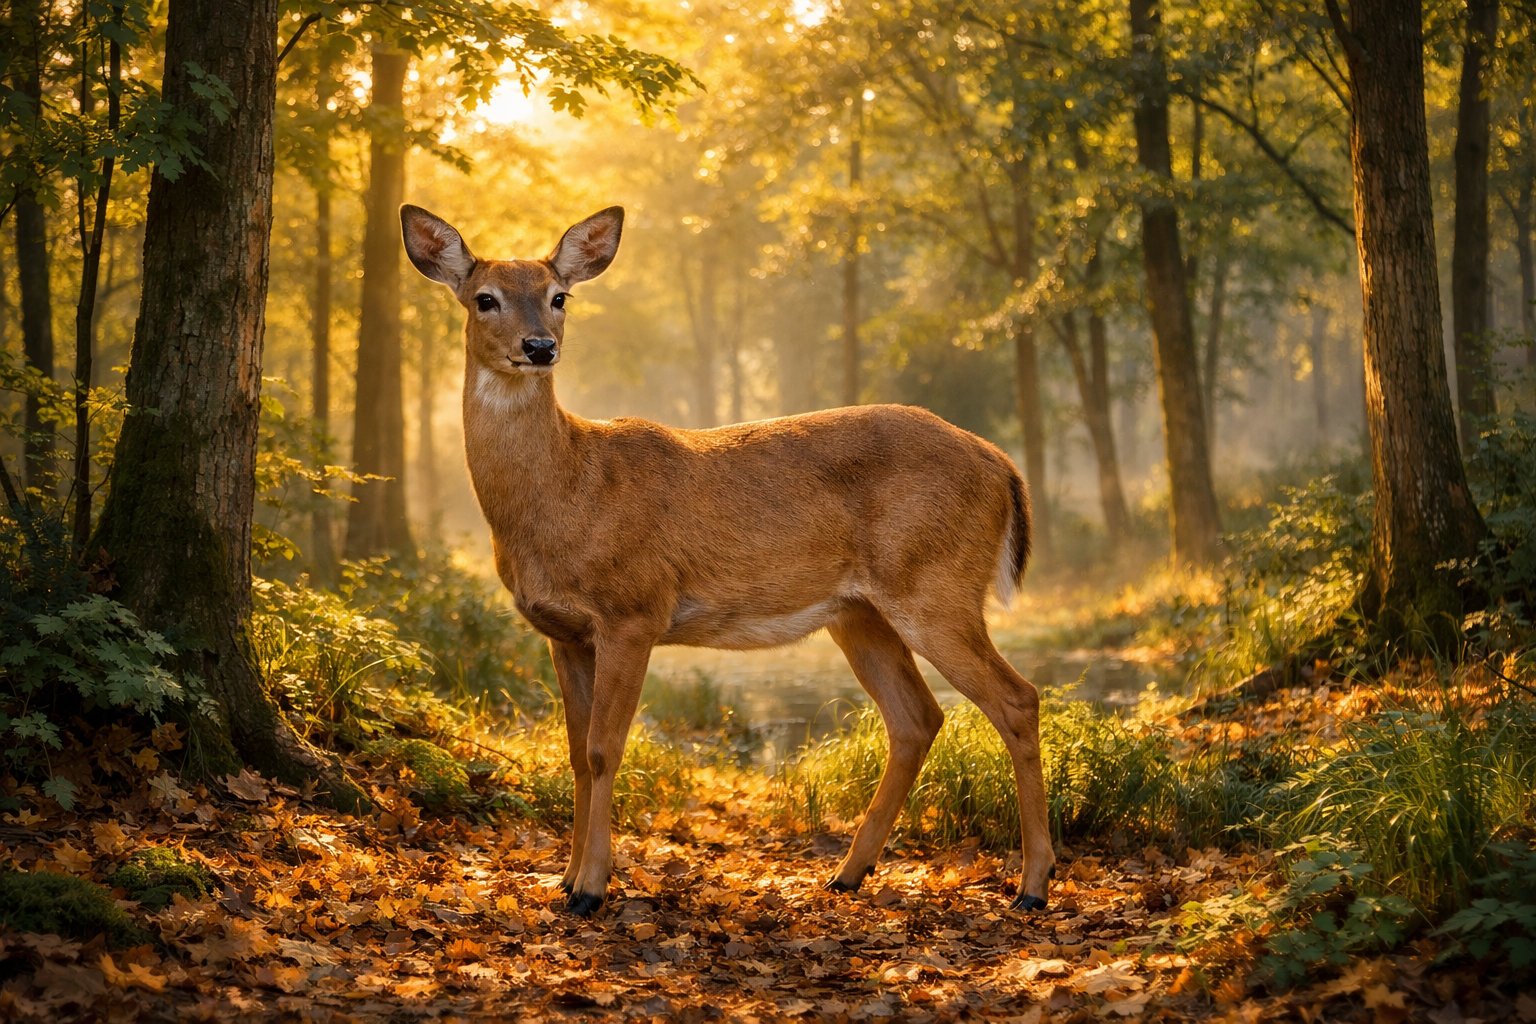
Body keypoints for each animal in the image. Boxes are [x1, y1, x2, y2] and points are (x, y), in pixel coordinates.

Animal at [400, 203, 1056, 917]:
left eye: (558, 297)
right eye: (485, 299)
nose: (540, 347)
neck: (567, 491)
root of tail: (1001, 463)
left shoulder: (634, 609)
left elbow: (604, 749)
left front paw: (592, 889)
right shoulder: (564, 631)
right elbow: (573, 753)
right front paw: (565, 881)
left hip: (935, 584)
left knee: (1017, 698)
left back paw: (1033, 886)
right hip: (859, 610)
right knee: (917, 717)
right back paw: (847, 873)